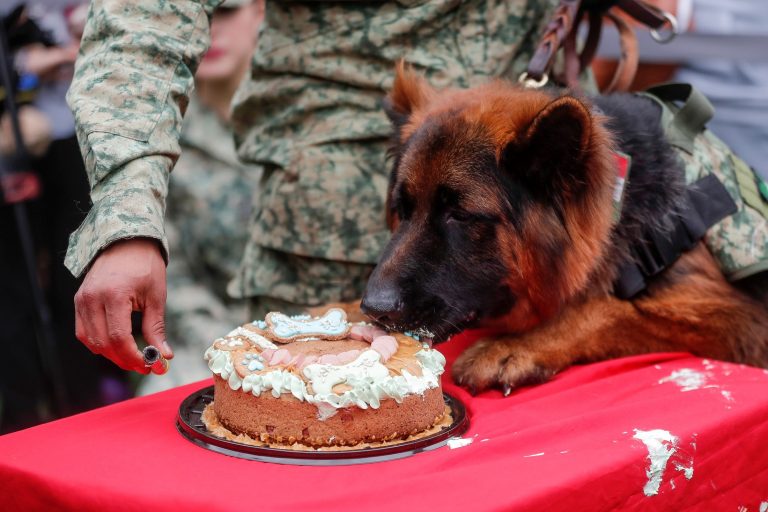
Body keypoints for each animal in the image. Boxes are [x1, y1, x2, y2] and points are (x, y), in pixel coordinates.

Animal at [360, 65, 768, 396]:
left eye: (459, 215)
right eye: (403, 210)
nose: (374, 309)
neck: (621, 198)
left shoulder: (741, 321)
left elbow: (606, 311)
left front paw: (514, 346)